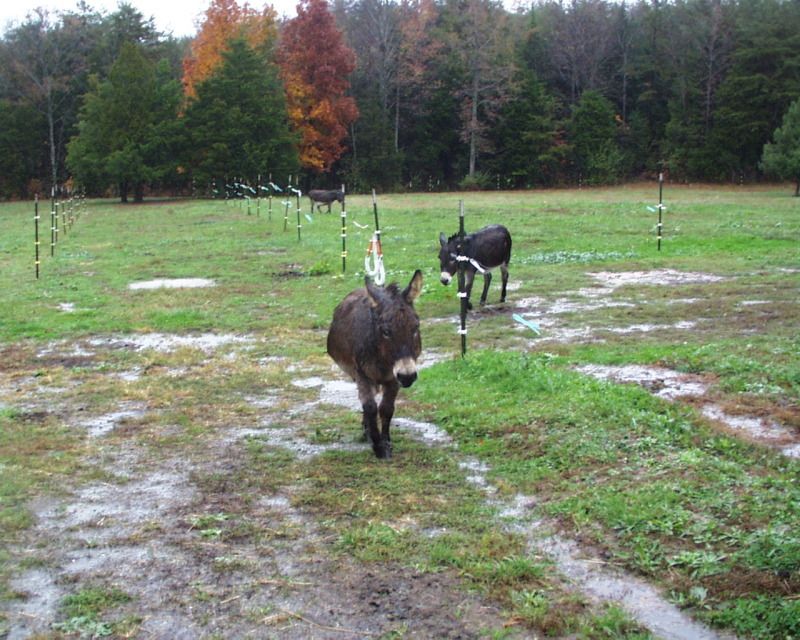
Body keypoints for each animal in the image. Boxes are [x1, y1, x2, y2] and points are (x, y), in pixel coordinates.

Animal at [326, 271, 423, 459]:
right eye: (385, 332)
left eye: (416, 327)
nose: (408, 377)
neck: (383, 360)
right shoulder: (362, 373)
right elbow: (370, 407)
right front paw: (378, 447)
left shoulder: (393, 378)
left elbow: (386, 409)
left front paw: (386, 443)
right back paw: (367, 431)